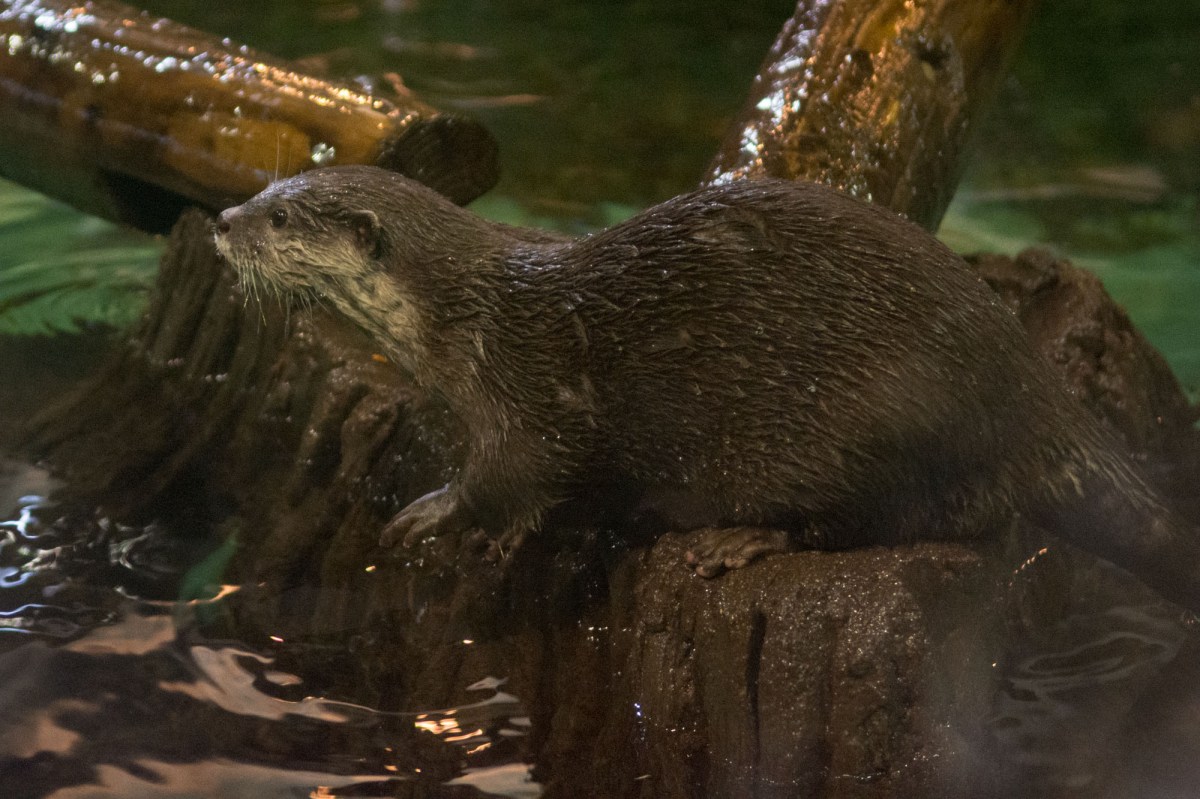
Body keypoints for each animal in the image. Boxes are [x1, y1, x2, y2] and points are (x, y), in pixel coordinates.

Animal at [214, 165, 1200, 611]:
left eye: (281, 215)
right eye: (266, 189)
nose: (222, 219)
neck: (464, 316)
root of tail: (1030, 385)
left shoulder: (527, 391)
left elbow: (514, 477)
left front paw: (434, 512)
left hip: (878, 422)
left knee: (909, 517)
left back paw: (736, 539)